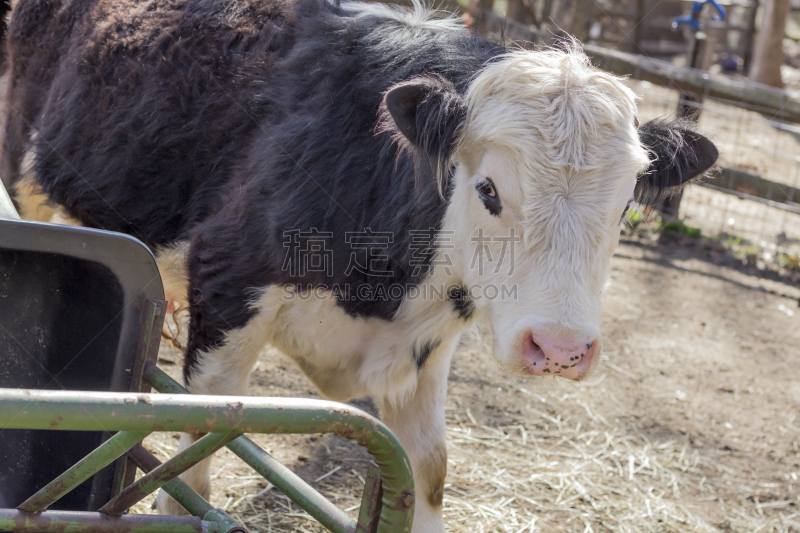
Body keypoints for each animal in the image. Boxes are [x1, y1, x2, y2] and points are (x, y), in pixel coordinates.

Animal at [1, 0, 720, 528]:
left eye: (626, 203)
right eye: (488, 189)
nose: (562, 347)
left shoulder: (425, 346)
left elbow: (429, 466)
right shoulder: (227, 278)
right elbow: (198, 450)